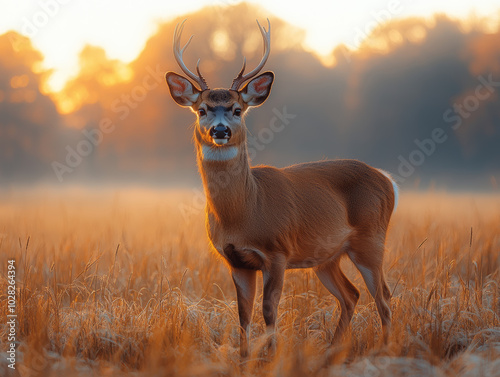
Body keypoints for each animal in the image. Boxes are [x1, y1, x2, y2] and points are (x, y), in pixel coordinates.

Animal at [165, 19, 398, 356]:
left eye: (237, 109)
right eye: (202, 109)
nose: (220, 130)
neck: (245, 211)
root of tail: (387, 180)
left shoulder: (278, 252)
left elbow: (269, 310)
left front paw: (271, 355)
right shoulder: (235, 260)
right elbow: (243, 314)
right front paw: (244, 358)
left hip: (371, 239)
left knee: (384, 296)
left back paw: (385, 349)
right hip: (327, 256)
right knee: (351, 294)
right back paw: (332, 349)